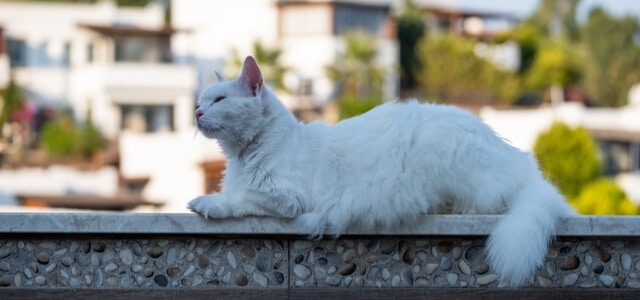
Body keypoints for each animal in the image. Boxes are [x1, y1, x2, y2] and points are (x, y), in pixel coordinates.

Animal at [190, 56, 576, 286]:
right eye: (201, 100)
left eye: (219, 101)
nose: (196, 112)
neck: (244, 155)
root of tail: (521, 163)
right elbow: (233, 192)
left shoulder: (286, 197)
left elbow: (238, 198)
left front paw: (206, 203)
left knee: (487, 202)